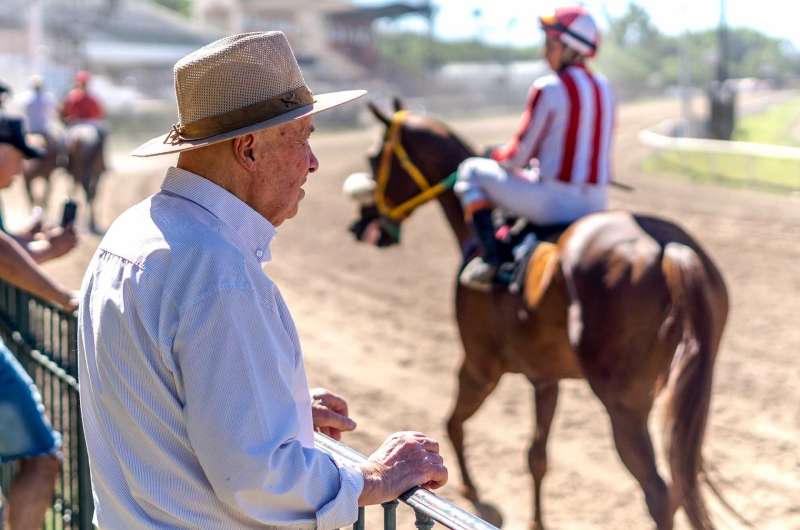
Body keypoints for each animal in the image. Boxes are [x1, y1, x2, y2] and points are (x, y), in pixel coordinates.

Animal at [344, 100, 732, 528]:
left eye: (374, 156)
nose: (362, 222)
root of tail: (668, 247)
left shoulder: (480, 364)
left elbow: (452, 425)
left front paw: (477, 498)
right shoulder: (545, 378)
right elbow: (537, 456)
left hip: (623, 402)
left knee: (659, 493)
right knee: (680, 483)